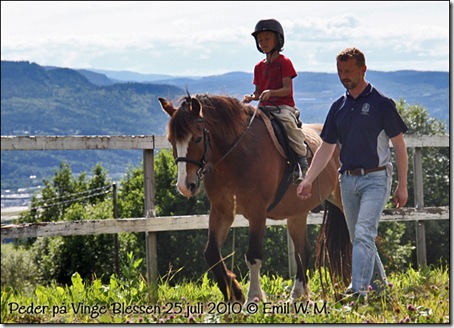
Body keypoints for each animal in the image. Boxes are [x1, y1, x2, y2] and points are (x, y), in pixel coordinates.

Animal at [160, 93, 352, 304]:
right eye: (171, 140)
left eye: (197, 138)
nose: (185, 186)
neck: (236, 154)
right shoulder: (222, 212)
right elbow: (211, 254)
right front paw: (233, 292)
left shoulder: (257, 213)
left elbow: (253, 256)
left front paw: (254, 296)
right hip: (297, 213)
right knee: (303, 251)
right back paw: (298, 295)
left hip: (344, 201)